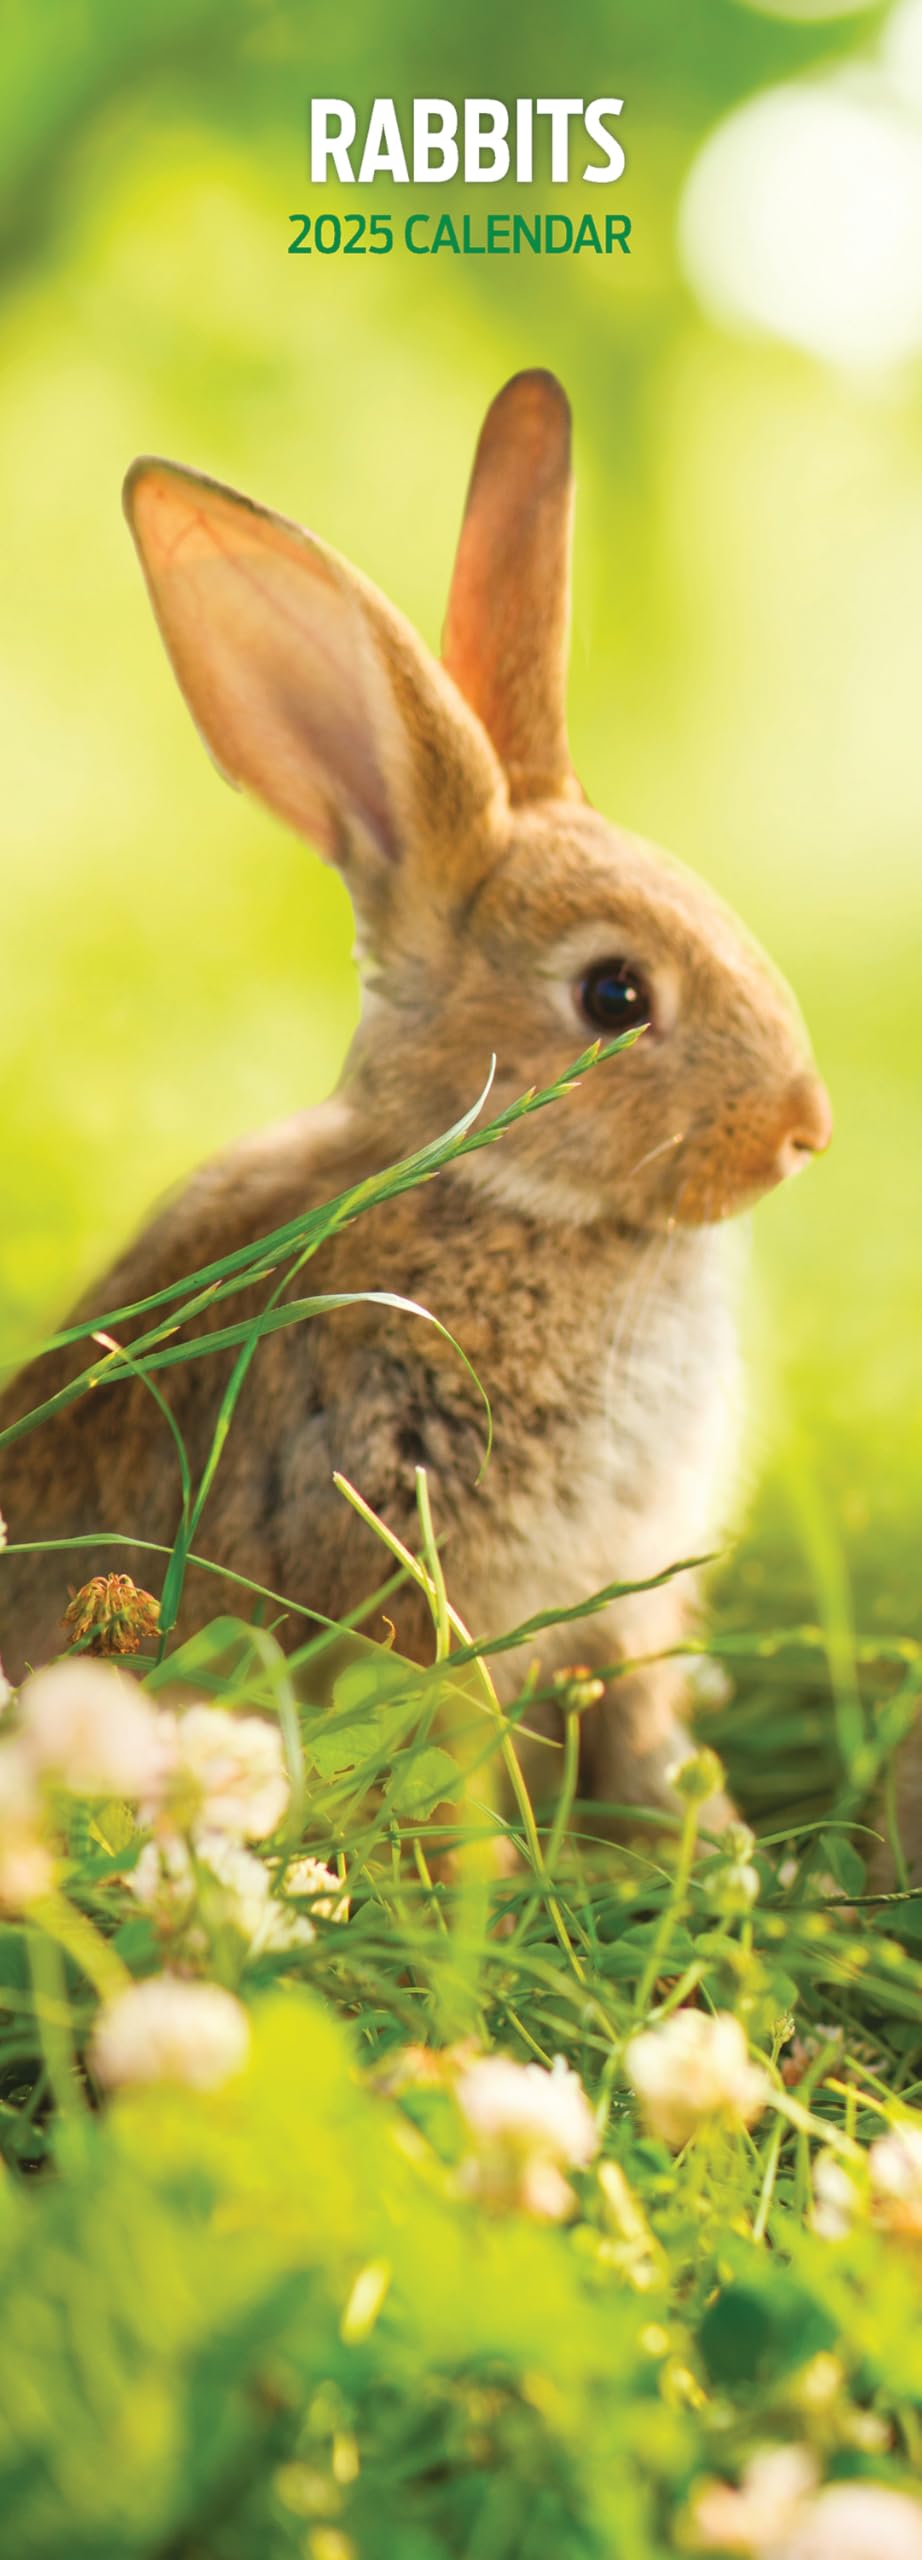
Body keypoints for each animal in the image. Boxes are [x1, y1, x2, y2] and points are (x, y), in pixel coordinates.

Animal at [0, 369, 832, 1833]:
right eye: (614, 996)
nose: (804, 1129)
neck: (502, 1192)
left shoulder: (620, 1613)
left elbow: (642, 1728)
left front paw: (708, 1840)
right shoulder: (408, 1561)